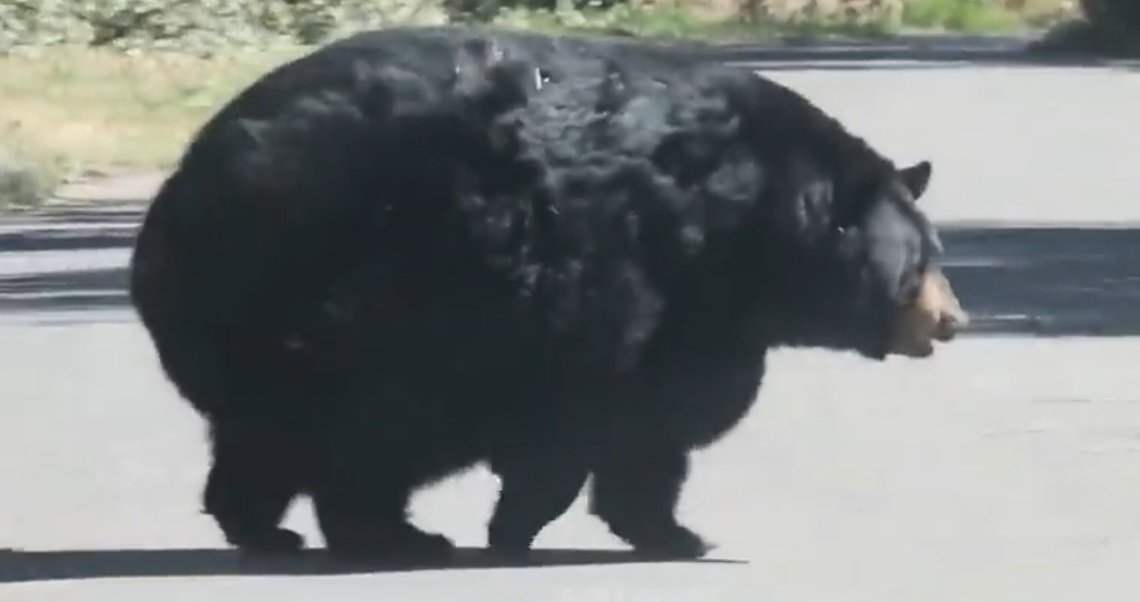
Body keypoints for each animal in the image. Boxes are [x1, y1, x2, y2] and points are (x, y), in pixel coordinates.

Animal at [128, 25, 968, 563]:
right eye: (921, 260)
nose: (953, 319)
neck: (747, 218)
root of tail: (178, 197)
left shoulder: (696, 321)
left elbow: (655, 429)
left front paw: (671, 531)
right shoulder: (617, 287)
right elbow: (590, 418)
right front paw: (522, 529)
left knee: (273, 439)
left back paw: (270, 529)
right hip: (356, 307)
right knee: (359, 433)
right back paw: (393, 537)